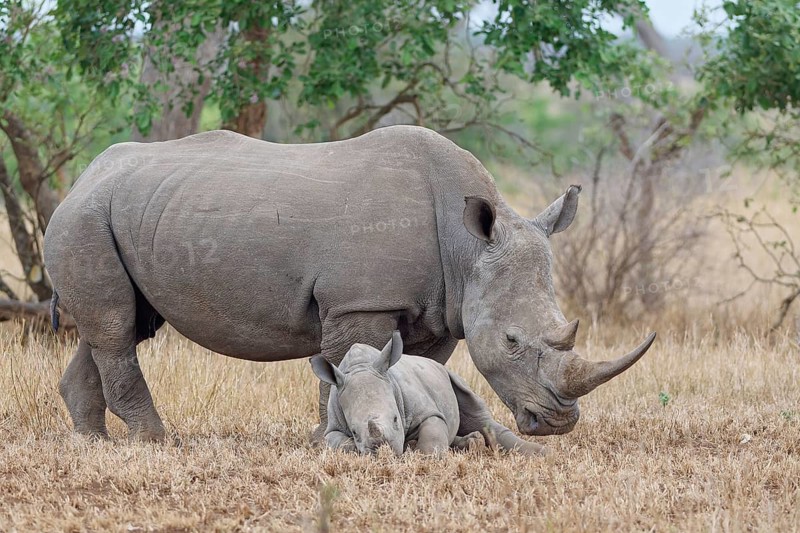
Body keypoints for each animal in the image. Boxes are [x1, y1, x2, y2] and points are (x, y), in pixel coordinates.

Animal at [44, 126, 655, 443]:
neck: (468, 249)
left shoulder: (440, 307)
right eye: (511, 341)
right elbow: (341, 366)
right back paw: (157, 443)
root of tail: (84, 176)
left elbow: (414, 367)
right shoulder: (359, 302)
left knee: (119, 327)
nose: (558, 424)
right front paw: (329, 443)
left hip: (123, 212)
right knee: (117, 329)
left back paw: (91, 443)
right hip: (84, 218)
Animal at [311, 331, 546, 456]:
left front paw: (426, 457)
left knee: (478, 414)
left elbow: (432, 430)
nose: (384, 451)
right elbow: (338, 443)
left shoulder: (426, 409)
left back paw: (540, 453)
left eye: (396, 420)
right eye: (354, 431)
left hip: (448, 374)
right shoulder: (332, 427)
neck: (360, 367)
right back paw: (472, 443)